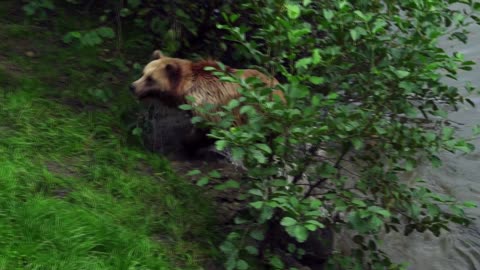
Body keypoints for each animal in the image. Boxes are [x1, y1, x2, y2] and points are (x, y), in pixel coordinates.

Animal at [129, 50, 284, 156]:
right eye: (144, 73)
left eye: (150, 79)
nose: (132, 86)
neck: (187, 88)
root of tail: (281, 89)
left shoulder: (211, 105)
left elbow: (207, 129)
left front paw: (186, 145)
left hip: (260, 114)